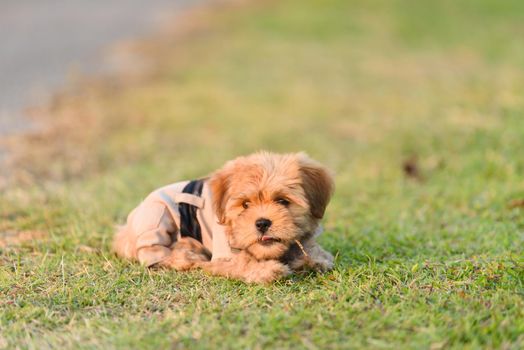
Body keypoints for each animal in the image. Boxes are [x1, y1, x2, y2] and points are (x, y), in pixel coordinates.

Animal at [113, 152, 336, 284]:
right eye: (245, 204)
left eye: (282, 201)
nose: (262, 223)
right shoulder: (224, 252)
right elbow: (240, 263)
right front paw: (268, 270)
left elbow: (308, 248)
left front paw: (313, 259)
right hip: (156, 219)